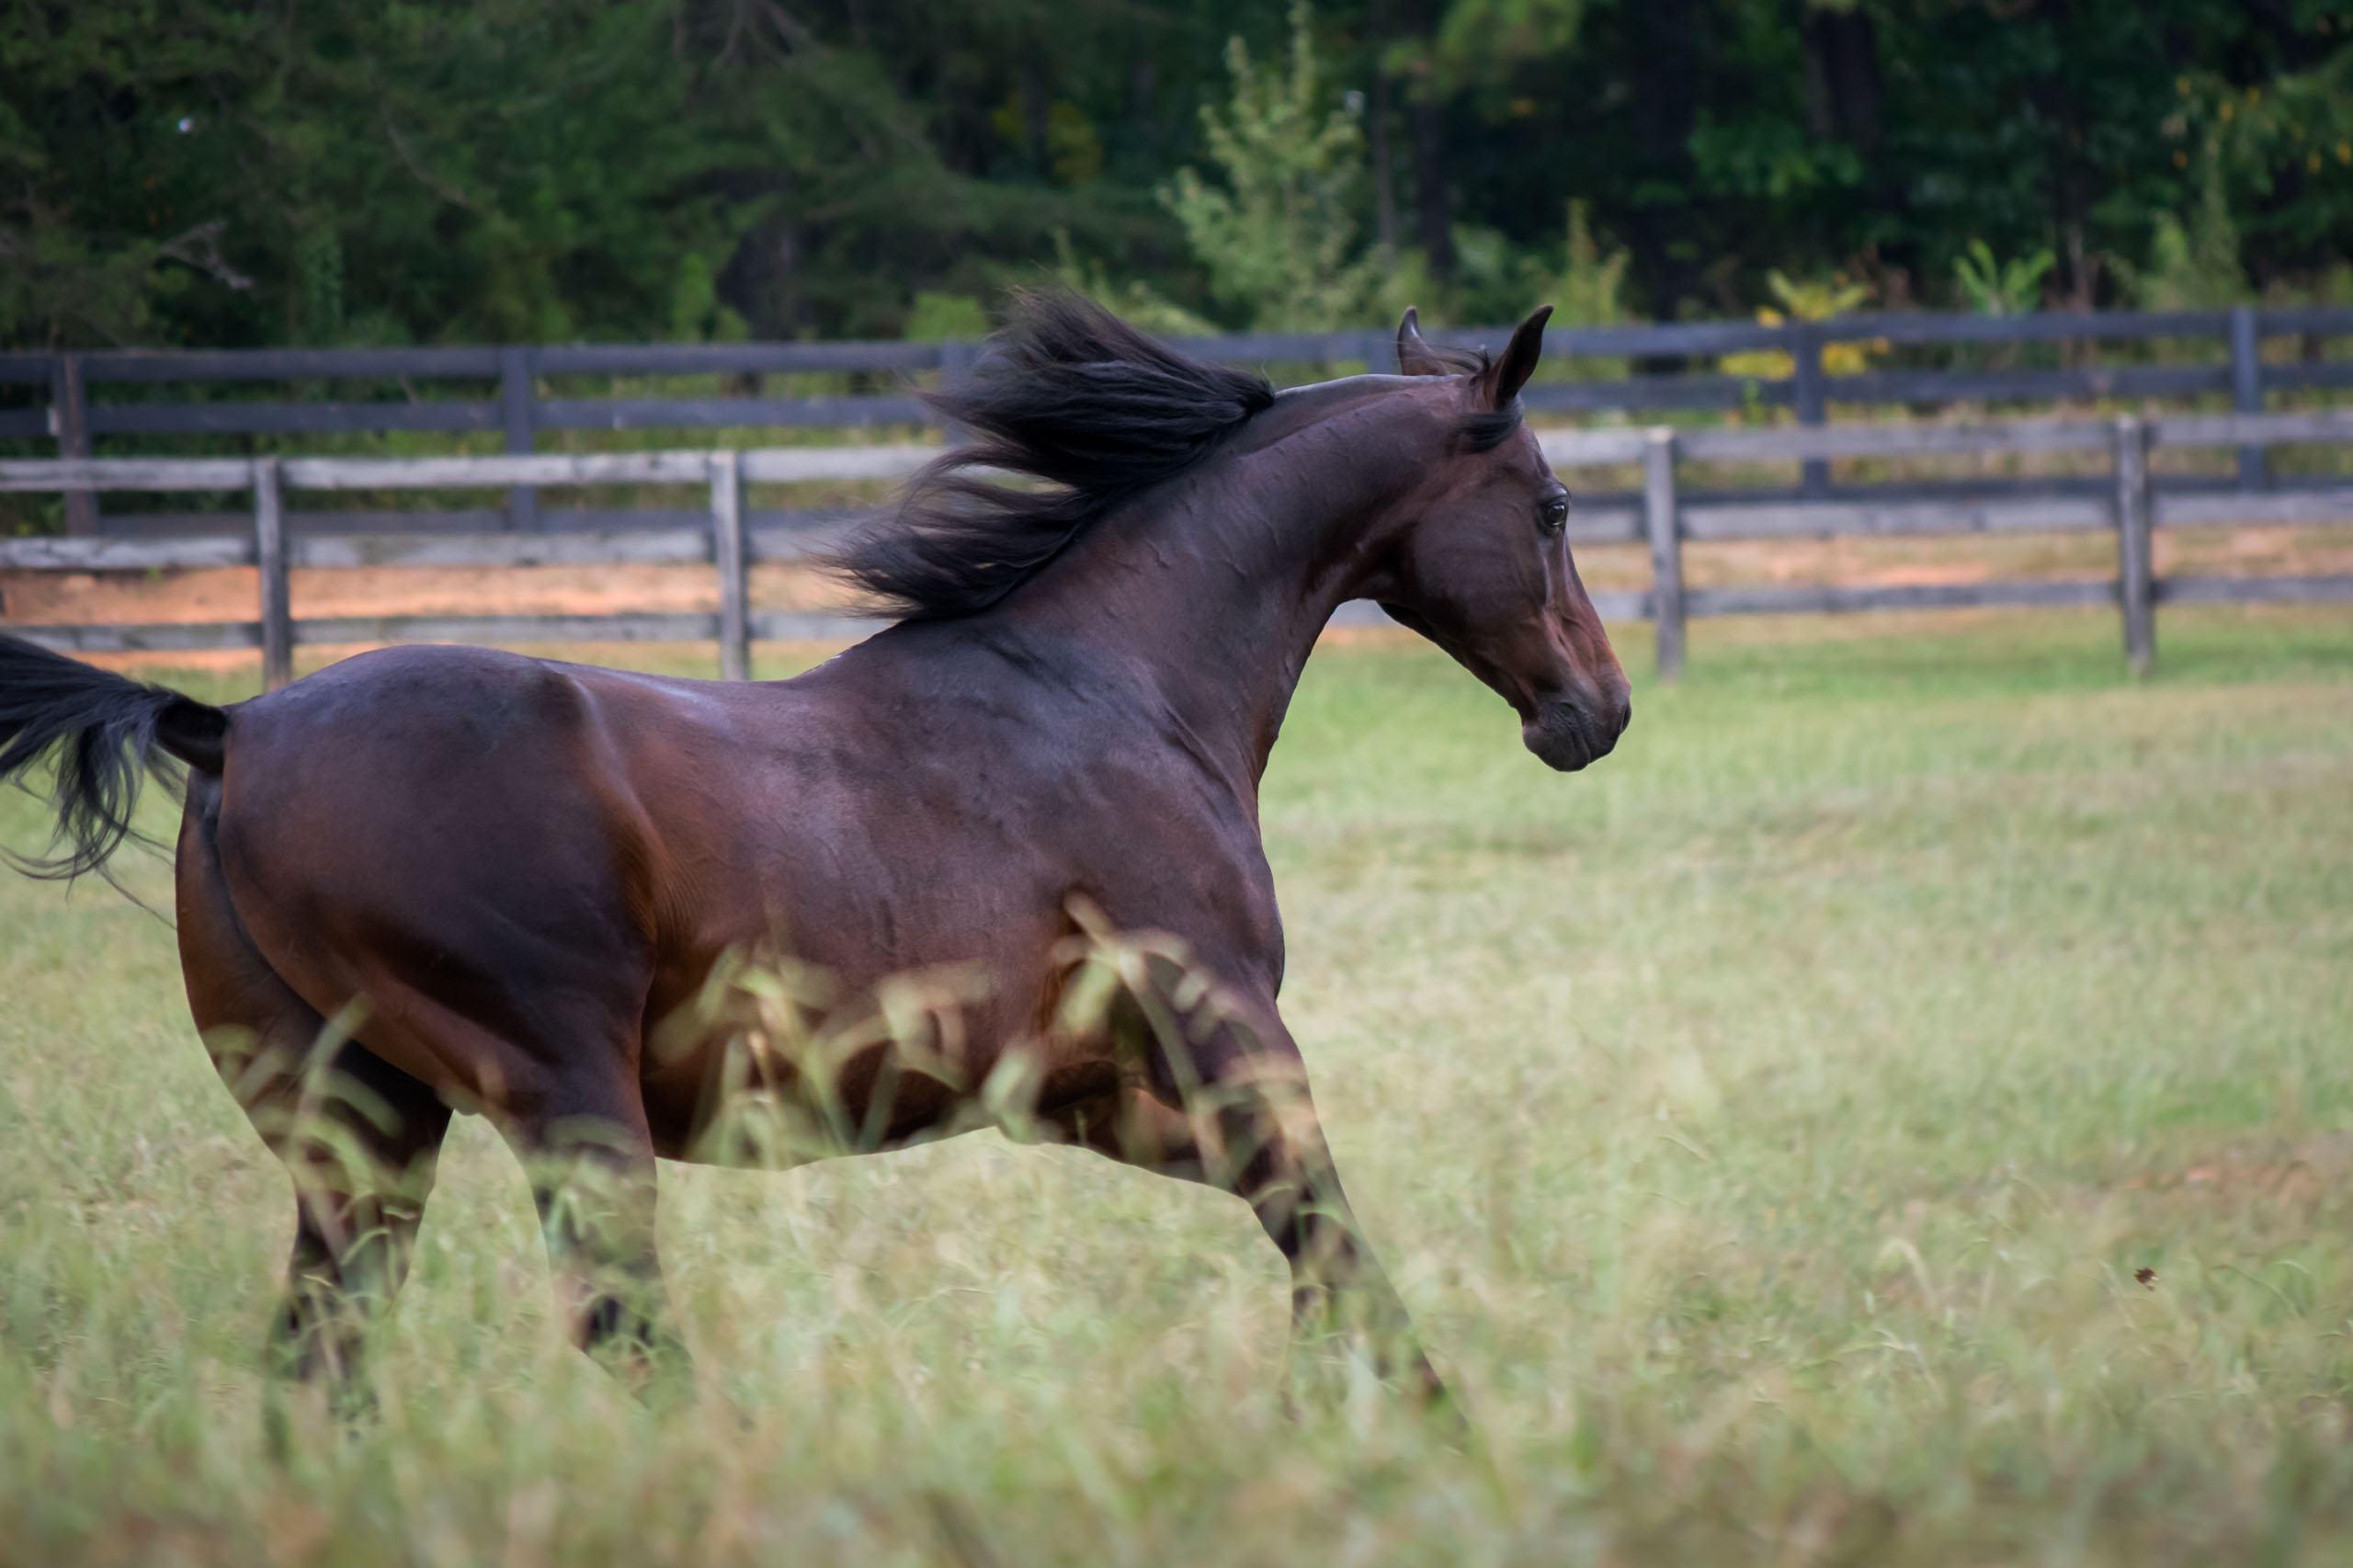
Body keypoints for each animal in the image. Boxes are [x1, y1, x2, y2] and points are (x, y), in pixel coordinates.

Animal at [0, 294, 1630, 1407]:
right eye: (1552, 505)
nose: (1597, 712)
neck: (1109, 684)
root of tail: (230, 728)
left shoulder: (1082, 1092)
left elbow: (1303, 1235)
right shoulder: (1227, 1020)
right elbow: (1331, 1232)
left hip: (360, 1129)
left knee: (318, 1356)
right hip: (559, 1092)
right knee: (619, 1331)